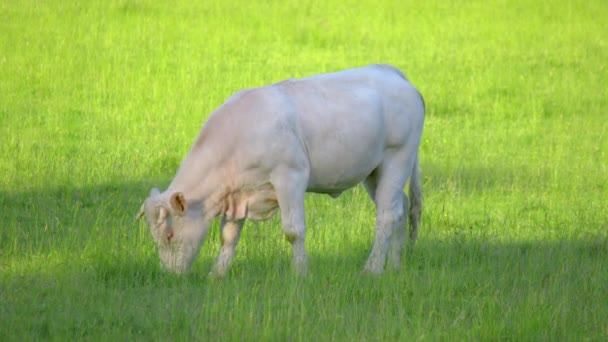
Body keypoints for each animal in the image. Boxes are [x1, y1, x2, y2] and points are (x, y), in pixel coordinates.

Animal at [136, 65, 426, 278]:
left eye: (169, 235)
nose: (171, 274)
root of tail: (393, 72)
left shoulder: (291, 177)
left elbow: (293, 230)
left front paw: (301, 273)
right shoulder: (236, 194)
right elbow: (228, 237)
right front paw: (216, 275)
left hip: (398, 158)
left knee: (387, 215)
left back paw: (372, 269)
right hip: (374, 172)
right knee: (401, 207)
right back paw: (395, 266)